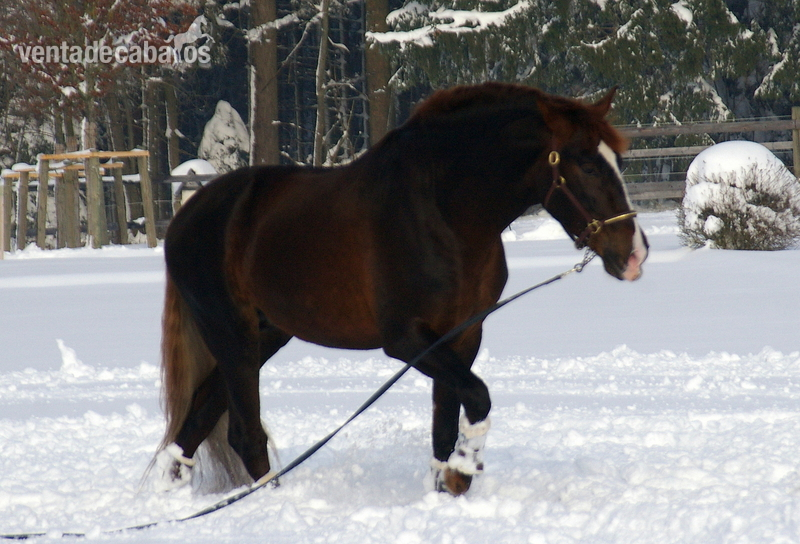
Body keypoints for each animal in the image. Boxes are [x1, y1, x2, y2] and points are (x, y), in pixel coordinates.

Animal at [154, 82, 649, 497]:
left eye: (619, 161)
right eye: (587, 163)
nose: (635, 255)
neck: (443, 213)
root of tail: (187, 216)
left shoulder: (462, 335)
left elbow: (446, 424)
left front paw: (446, 487)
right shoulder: (407, 340)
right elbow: (478, 397)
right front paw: (463, 470)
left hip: (264, 333)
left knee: (196, 420)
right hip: (232, 334)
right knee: (242, 432)